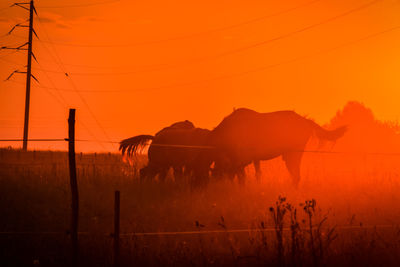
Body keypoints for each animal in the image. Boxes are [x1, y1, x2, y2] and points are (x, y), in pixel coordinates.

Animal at [197, 109, 346, 186]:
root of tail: (306, 121)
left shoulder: (241, 160)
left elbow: (240, 177)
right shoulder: (250, 159)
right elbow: (253, 175)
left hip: (293, 154)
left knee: (296, 175)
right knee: (295, 175)